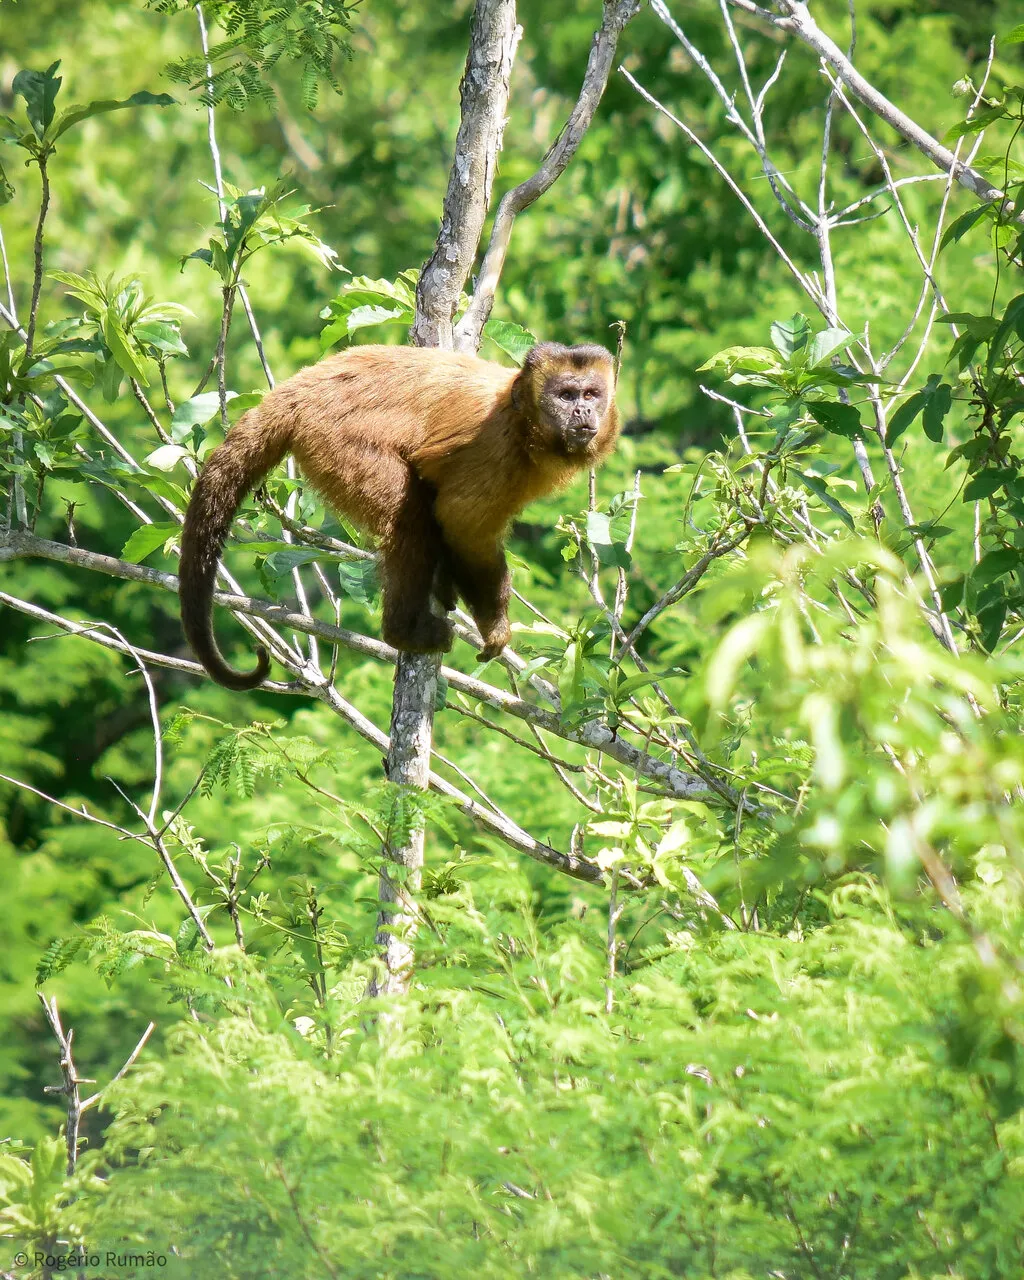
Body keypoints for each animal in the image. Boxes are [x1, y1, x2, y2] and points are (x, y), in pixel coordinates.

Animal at [179, 341, 620, 690]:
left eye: (591, 393)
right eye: (565, 395)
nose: (583, 411)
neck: (522, 420)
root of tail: (298, 390)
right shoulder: (499, 449)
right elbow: (462, 526)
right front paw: (495, 627)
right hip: (336, 443)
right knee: (409, 521)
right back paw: (404, 631)